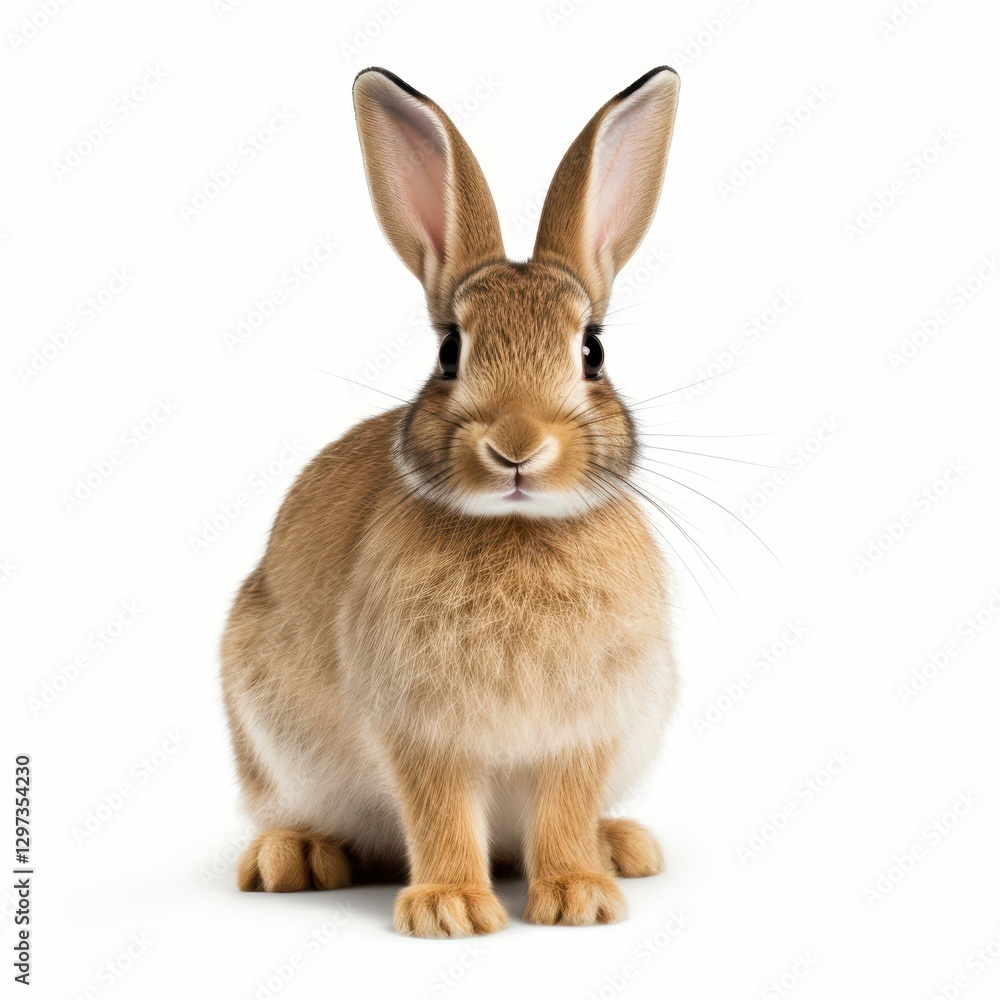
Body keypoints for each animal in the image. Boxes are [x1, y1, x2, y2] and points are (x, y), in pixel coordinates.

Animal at [222, 64, 681, 938]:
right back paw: (295, 858)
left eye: (593, 351)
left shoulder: (587, 730)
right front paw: (450, 909)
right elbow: (437, 810)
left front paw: (577, 894)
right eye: (447, 352)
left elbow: (564, 807)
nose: (516, 446)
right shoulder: (420, 728)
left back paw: (621, 846)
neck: (517, 529)